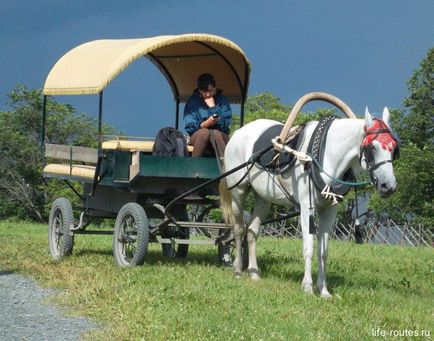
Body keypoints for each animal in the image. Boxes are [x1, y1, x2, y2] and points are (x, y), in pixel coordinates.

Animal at [222, 94, 398, 296]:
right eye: (372, 147)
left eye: (394, 147)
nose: (388, 185)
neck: (326, 153)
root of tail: (238, 133)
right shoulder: (307, 207)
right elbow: (309, 247)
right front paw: (307, 286)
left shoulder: (330, 209)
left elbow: (323, 251)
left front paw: (323, 290)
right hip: (239, 189)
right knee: (238, 228)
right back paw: (237, 270)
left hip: (263, 197)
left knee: (252, 230)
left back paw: (253, 272)